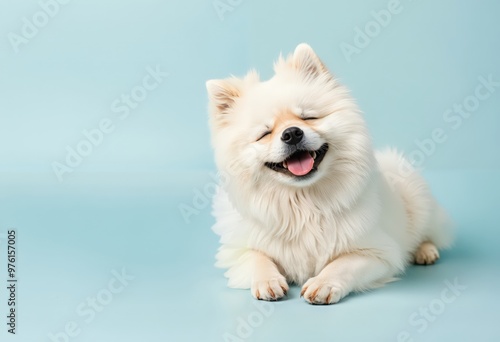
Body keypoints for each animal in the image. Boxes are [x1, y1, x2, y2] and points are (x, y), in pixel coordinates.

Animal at [206, 43, 454, 304]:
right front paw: (268, 280)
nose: (292, 133)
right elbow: (257, 257)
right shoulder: (235, 252)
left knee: (428, 233)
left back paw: (425, 251)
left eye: (308, 117)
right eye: (264, 133)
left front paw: (323, 283)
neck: (303, 203)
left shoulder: (378, 252)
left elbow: (343, 263)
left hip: (418, 201)